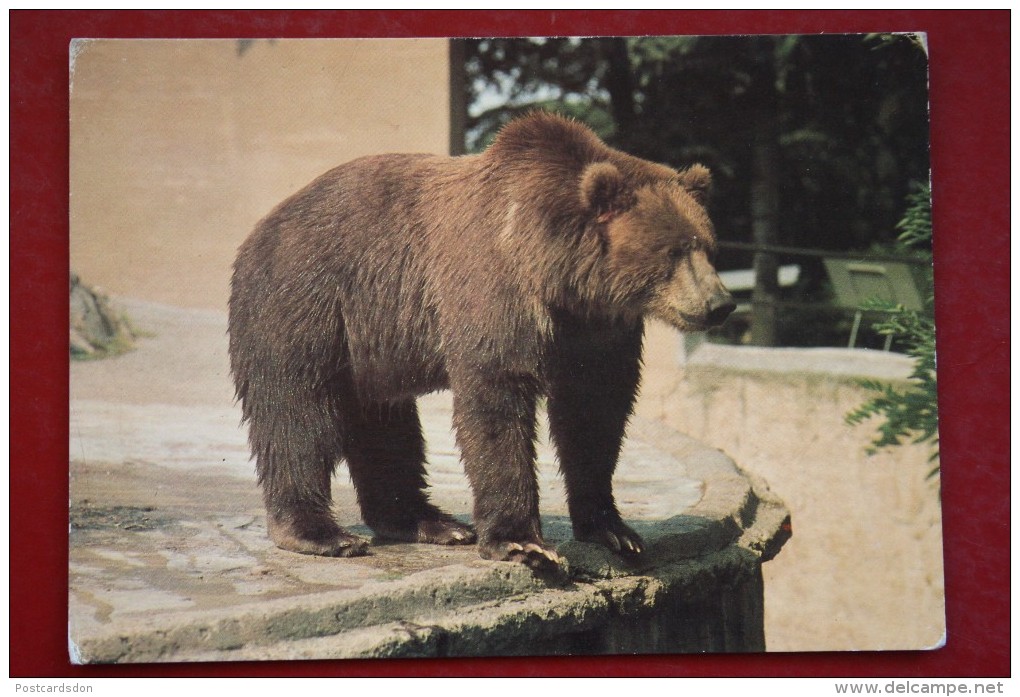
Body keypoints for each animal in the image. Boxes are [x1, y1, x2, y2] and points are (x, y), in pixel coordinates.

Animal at [231, 111, 734, 571]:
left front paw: (614, 530)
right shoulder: (492, 287)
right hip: (308, 301)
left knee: (386, 425)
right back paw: (321, 533)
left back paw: (429, 521)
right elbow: (497, 401)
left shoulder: (596, 329)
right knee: (298, 411)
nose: (720, 304)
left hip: (372, 345)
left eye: (708, 246)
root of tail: (262, 226)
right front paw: (524, 543)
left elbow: (594, 413)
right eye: (671, 252)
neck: (557, 272)